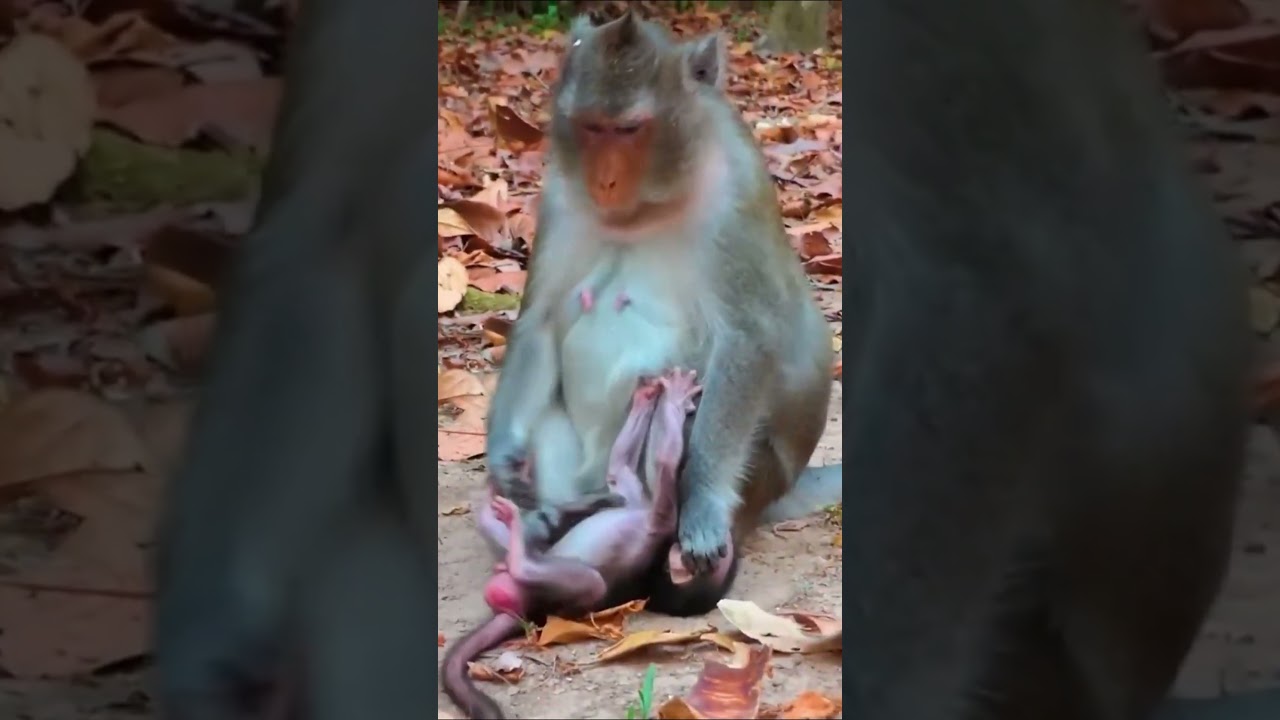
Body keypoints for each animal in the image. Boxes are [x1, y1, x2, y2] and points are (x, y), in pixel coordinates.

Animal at [444, 369, 701, 720]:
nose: (606, 499)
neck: (640, 506)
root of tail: (523, 608)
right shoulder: (630, 490)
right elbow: (618, 464)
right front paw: (646, 396)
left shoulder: (659, 511)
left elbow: (663, 460)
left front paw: (674, 400)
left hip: (562, 590)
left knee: (583, 582)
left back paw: (515, 539)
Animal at [482, 11, 842, 619]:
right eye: (591, 127)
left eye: (629, 130)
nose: (604, 181)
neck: (647, 205)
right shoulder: (559, 193)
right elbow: (542, 320)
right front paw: (504, 457)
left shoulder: (736, 196)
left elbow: (748, 337)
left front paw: (701, 511)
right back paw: (544, 523)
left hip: (756, 472)